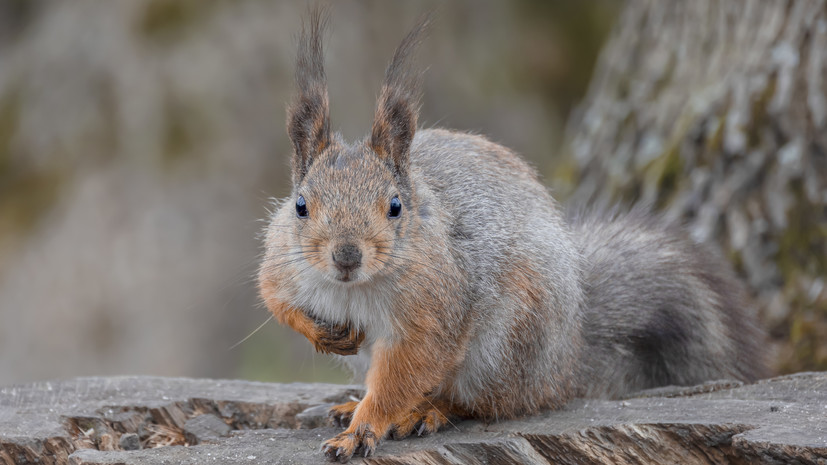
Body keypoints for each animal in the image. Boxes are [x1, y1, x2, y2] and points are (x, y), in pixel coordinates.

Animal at [258, 9, 768, 462]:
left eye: (395, 206)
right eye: (300, 205)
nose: (346, 256)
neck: (353, 289)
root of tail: (565, 360)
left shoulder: (435, 307)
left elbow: (406, 371)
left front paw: (363, 430)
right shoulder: (283, 262)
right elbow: (275, 299)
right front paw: (321, 334)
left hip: (506, 344)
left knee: (486, 403)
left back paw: (425, 410)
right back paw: (350, 402)